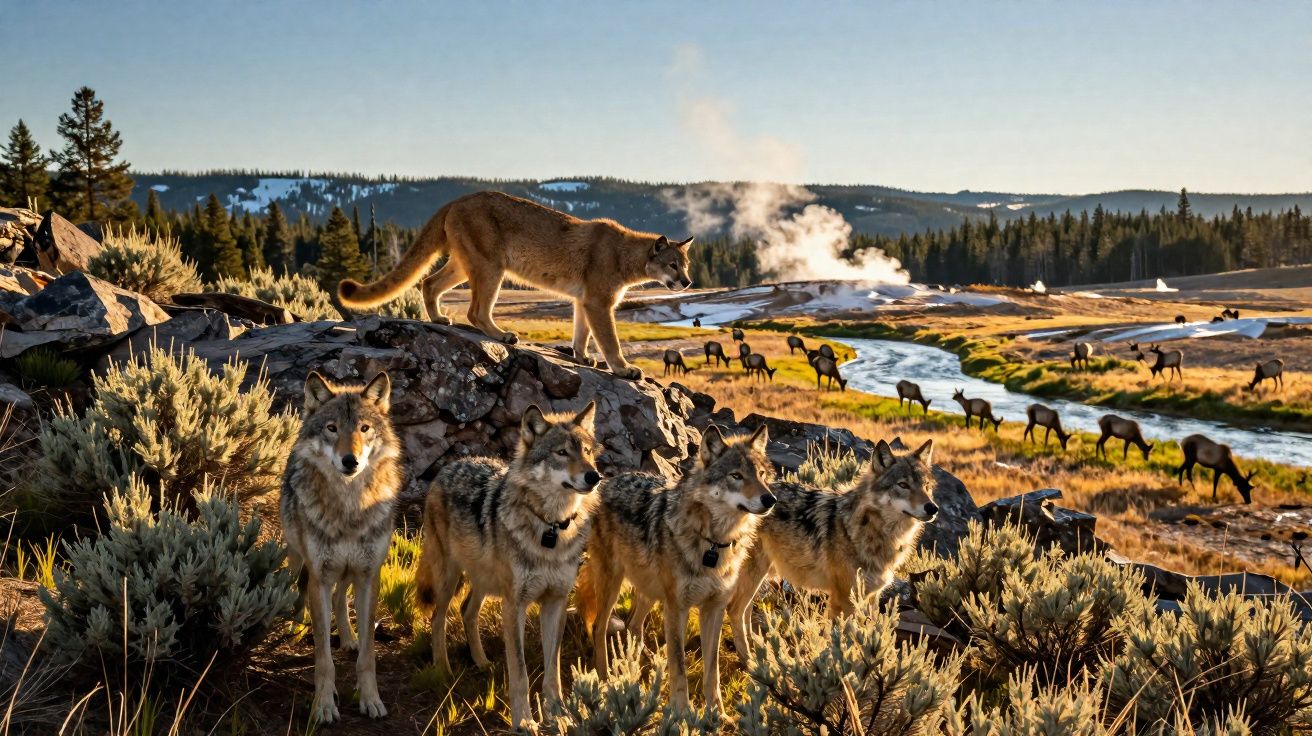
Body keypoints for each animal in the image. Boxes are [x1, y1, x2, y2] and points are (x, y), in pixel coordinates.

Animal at [281, 372, 403, 724]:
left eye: (364, 428)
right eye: (332, 428)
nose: (351, 460)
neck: (349, 509)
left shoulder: (368, 576)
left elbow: (368, 654)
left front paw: (371, 699)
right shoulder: (320, 577)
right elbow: (323, 657)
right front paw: (323, 705)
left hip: (348, 572)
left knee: (339, 601)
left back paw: (348, 639)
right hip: (299, 558)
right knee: (297, 590)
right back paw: (294, 624)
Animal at [337, 191, 694, 379]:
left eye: (686, 264)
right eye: (672, 265)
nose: (688, 282)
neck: (629, 256)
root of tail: (458, 199)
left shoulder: (584, 300)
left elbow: (581, 331)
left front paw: (582, 357)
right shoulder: (598, 300)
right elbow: (609, 339)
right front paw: (624, 368)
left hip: (465, 262)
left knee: (428, 281)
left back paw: (438, 318)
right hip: (491, 264)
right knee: (476, 310)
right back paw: (501, 335)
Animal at [416, 403, 600, 730]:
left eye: (588, 452)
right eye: (562, 453)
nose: (595, 476)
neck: (551, 529)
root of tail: (449, 466)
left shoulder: (555, 603)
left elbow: (553, 672)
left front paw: (558, 715)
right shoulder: (515, 605)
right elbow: (520, 672)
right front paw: (524, 721)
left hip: (485, 582)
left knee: (467, 610)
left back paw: (481, 662)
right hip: (450, 576)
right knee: (438, 617)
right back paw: (442, 669)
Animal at [576, 424, 776, 711]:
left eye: (761, 475)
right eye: (736, 476)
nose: (770, 499)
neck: (712, 545)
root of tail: (606, 482)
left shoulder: (714, 609)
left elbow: (712, 670)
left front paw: (717, 712)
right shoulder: (676, 607)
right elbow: (679, 666)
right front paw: (682, 712)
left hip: (648, 589)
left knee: (633, 626)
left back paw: (640, 665)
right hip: (612, 584)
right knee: (599, 627)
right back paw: (605, 680)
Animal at [727, 439, 937, 658]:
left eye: (926, 486)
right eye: (903, 485)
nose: (932, 508)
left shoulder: (872, 597)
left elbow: (870, 636)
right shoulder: (842, 599)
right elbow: (838, 642)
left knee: (745, 610)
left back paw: (757, 649)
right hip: (754, 572)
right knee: (734, 609)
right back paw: (749, 660)